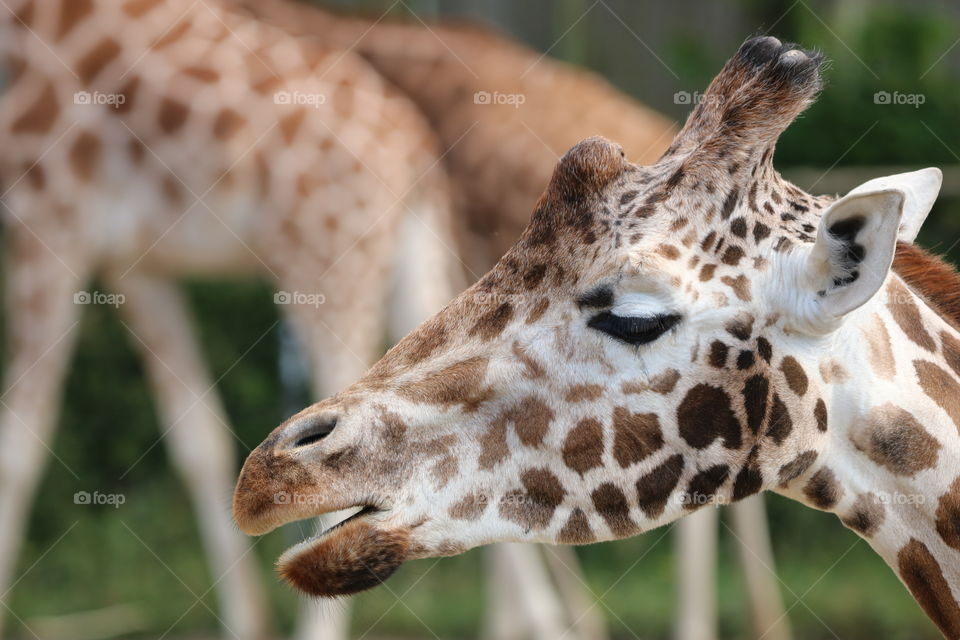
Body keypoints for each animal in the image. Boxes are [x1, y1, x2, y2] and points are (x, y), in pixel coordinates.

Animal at [0, 0, 457, 638]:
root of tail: (416, 150)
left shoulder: (47, 219)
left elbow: (20, 445)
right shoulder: (136, 267)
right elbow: (199, 439)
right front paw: (246, 624)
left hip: (329, 263)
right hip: (409, 267)